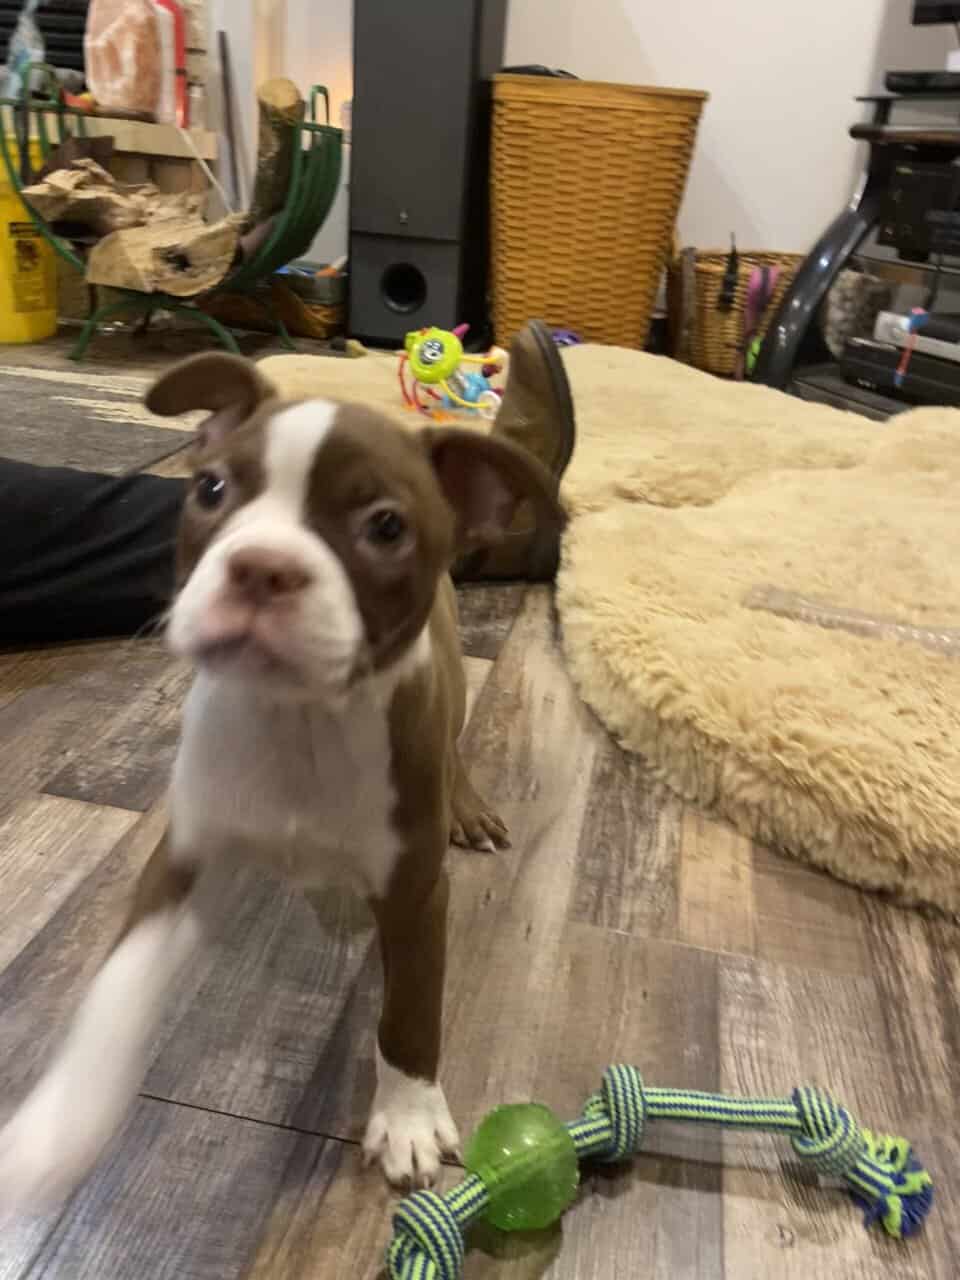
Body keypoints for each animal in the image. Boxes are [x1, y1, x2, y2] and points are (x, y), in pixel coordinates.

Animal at [0, 352, 562, 1212]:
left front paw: (406, 1115)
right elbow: (118, 991)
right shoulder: (183, 861)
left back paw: (466, 806)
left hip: (453, 686)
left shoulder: (415, 890)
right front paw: (56, 1127)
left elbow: (411, 1010)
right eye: (210, 490)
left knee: (455, 745)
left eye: (386, 527)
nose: (263, 567)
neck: (298, 723)